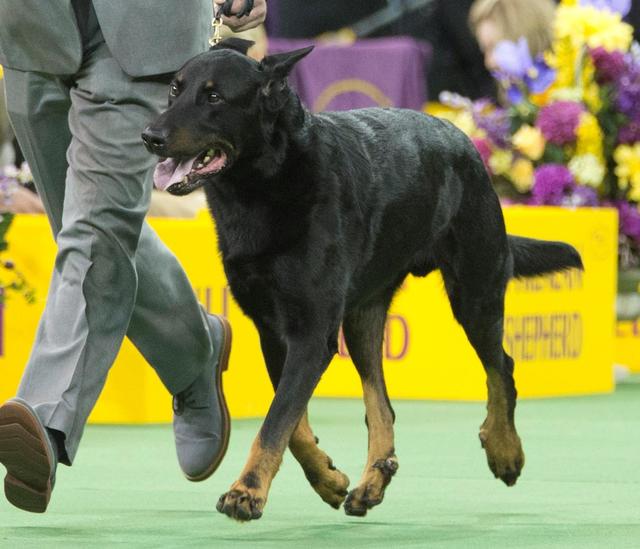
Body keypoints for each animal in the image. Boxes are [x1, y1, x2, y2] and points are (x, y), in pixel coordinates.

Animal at [142, 39, 584, 524]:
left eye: (215, 97)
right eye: (175, 90)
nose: (150, 136)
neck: (266, 182)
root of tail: (463, 140)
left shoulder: (312, 333)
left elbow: (275, 422)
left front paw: (247, 491)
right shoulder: (274, 331)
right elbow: (292, 424)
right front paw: (327, 478)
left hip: (475, 292)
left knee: (500, 367)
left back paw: (504, 451)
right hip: (363, 318)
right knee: (382, 405)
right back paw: (373, 480)